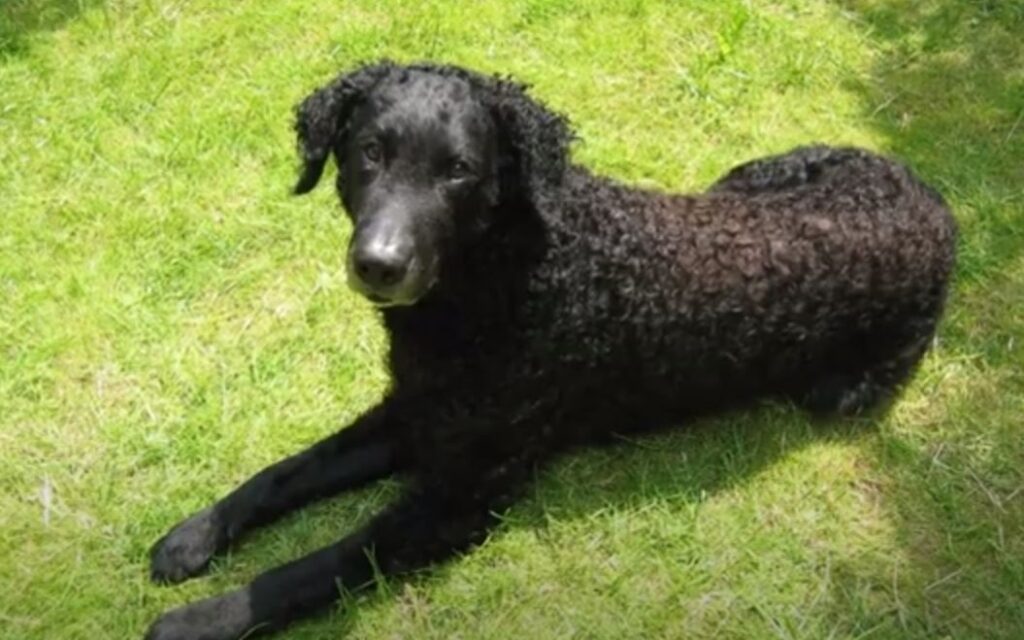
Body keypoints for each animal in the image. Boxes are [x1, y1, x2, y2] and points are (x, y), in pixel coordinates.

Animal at [146, 61, 958, 638]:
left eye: (458, 170)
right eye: (369, 153)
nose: (378, 264)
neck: (508, 274)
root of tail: (936, 202)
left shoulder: (458, 495)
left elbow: (323, 563)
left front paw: (201, 619)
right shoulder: (415, 411)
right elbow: (284, 475)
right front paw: (194, 536)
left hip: (845, 386)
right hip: (748, 174)